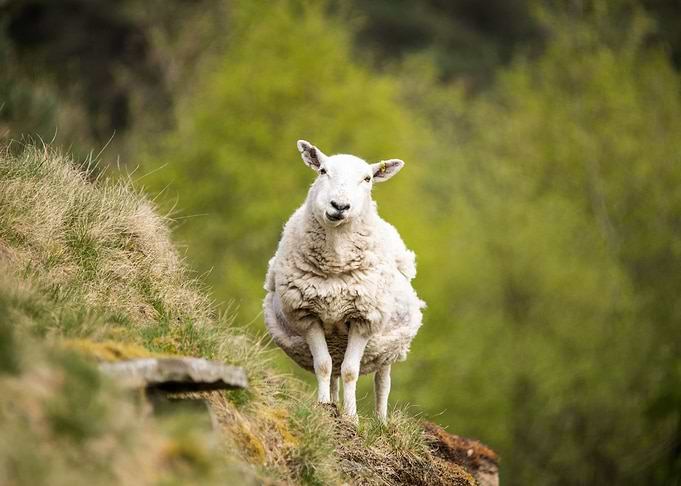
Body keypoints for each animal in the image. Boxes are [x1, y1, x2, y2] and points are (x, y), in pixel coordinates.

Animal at [263, 140, 425, 421]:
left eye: (367, 178)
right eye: (322, 171)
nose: (339, 206)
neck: (336, 265)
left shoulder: (364, 320)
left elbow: (352, 371)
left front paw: (352, 418)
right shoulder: (307, 316)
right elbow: (323, 366)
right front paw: (324, 408)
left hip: (388, 346)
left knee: (382, 381)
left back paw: (381, 422)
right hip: (335, 342)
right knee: (334, 372)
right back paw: (334, 404)